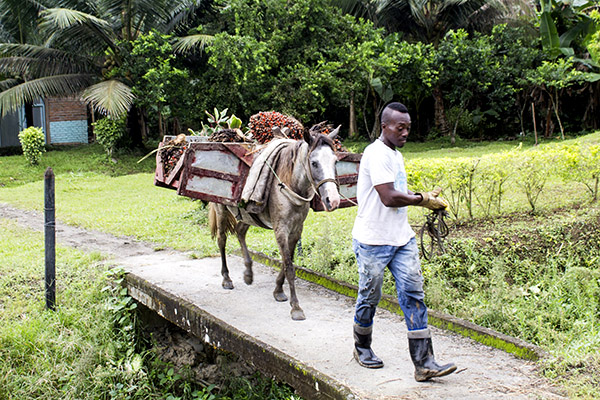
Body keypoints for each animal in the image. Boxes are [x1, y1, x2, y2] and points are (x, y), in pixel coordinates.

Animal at [207, 124, 342, 318]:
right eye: (314, 163)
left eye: (335, 161)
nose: (334, 200)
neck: (289, 184)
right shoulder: (281, 229)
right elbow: (289, 267)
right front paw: (296, 307)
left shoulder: (296, 229)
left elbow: (288, 261)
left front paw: (278, 290)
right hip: (221, 209)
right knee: (221, 240)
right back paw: (226, 278)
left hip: (248, 214)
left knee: (240, 232)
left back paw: (248, 273)